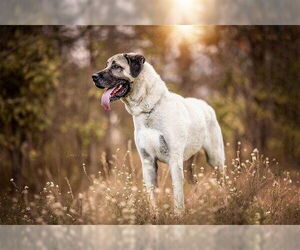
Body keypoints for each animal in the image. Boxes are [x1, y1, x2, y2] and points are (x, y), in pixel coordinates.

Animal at [92, 52, 225, 215]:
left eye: (116, 66)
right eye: (107, 65)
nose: (93, 77)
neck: (148, 108)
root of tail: (205, 104)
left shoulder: (174, 160)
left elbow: (177, 195)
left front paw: (178, 216)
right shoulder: (148, 161)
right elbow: (152, 196)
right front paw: (154, 216)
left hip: (215, 159)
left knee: (223, 183)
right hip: (188, 164)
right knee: (193, 183)